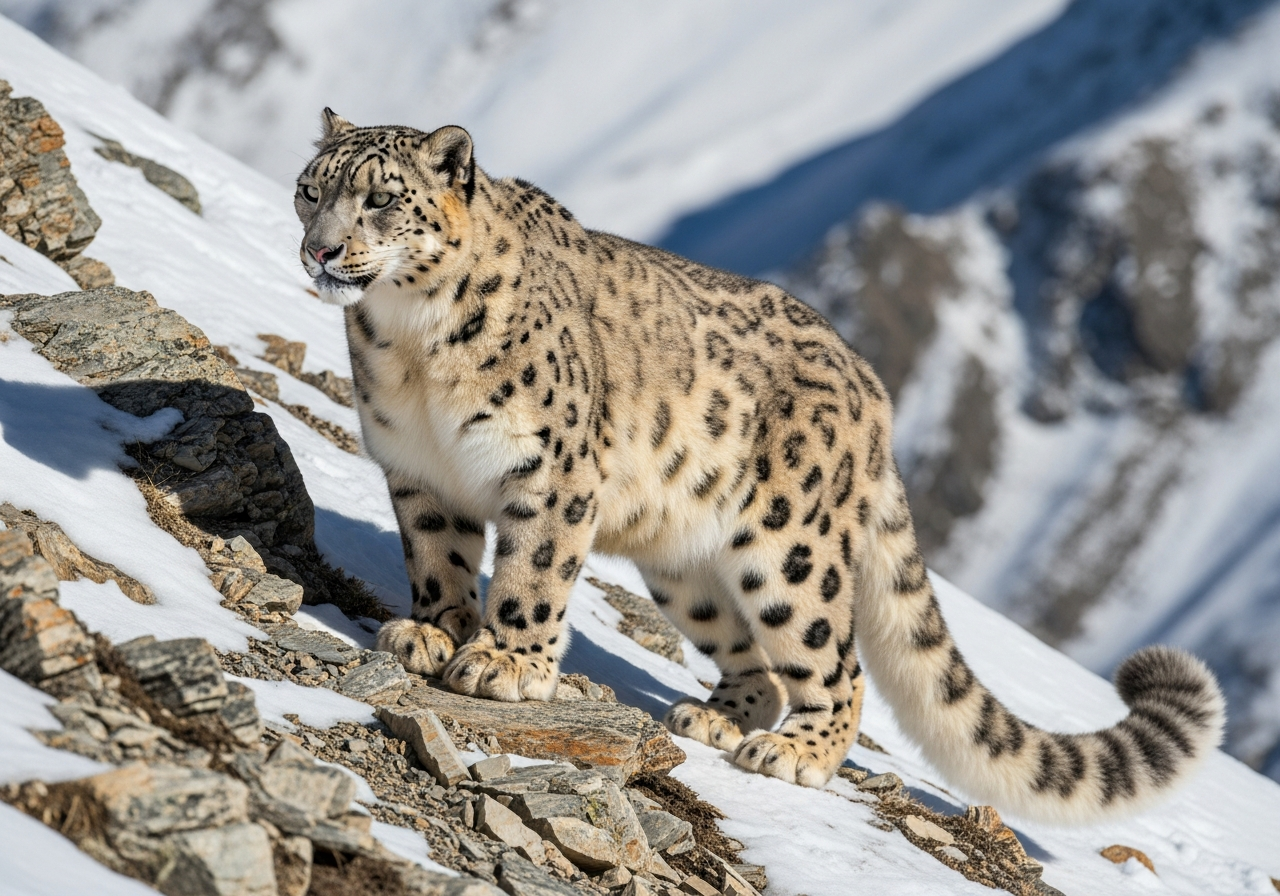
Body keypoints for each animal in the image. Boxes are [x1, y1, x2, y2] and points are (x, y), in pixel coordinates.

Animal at [293, 110, 1224, 824]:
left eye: (381, 198)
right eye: (311, 190)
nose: (321, 252)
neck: (411, 346)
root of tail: (873, 391)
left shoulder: (551, 473)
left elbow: (533, 573)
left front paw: (505, 663)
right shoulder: (418, 470)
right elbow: (437, 556)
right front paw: (432, 631)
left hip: (791, 550)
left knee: (837, 667)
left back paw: (794, 752)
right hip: (687, 567)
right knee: (757, 661)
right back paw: (713, 718)